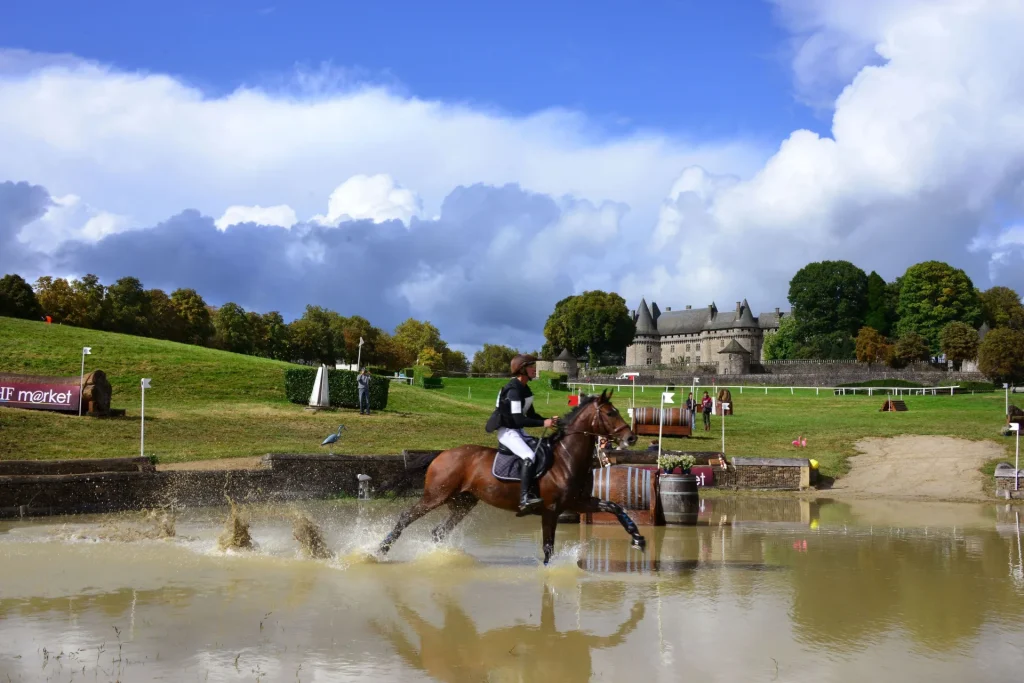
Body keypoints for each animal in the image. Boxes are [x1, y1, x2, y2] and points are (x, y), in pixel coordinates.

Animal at [380, 389, 643, 565]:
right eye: (610, 413)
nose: (631, 438)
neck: (567, 458)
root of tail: (442, 454)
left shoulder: (578, 502)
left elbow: (615, 507)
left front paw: (638, 538)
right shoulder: (551, 510)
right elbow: (548, 548)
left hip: (463, 502)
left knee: (439, 531)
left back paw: (439, 557)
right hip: (436, 496)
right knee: (406, 517)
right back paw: (381, 549)